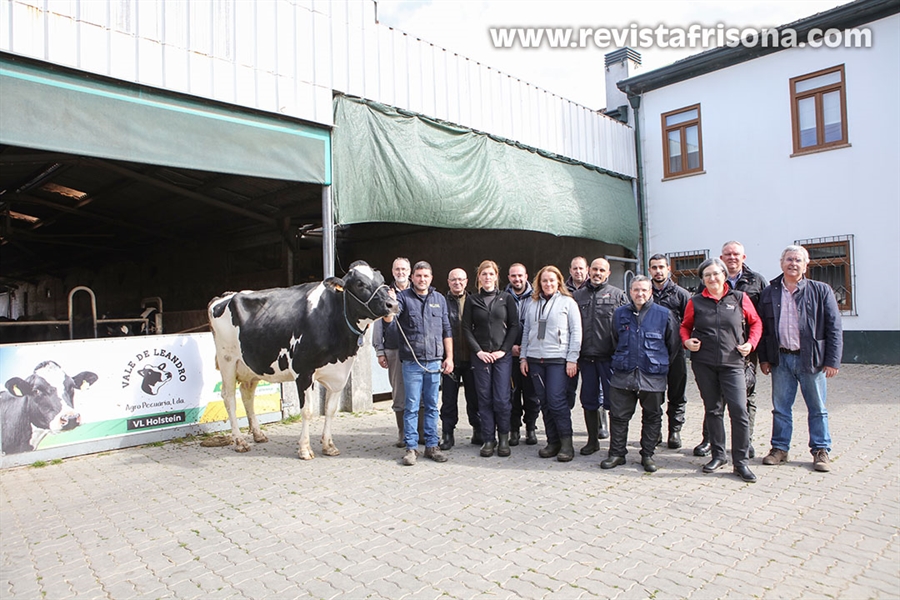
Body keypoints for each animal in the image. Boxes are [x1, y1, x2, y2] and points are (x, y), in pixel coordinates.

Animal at [209, 260, 400, 458]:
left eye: (382, 280)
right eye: (360, 283)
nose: (392, 304)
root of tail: (225, 296)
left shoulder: (340, 372)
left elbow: (330, 409)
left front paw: (328, 445)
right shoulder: (303, 372)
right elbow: (307, 411)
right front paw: (305, 448)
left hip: (251, 364)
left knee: (247, 393)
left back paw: (258, 434)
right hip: (227, 359)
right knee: (229, 397)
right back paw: (239, 442)